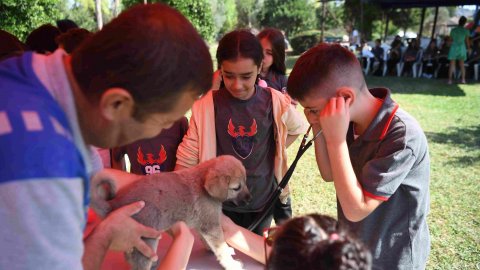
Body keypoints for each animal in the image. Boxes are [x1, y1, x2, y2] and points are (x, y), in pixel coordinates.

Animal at [88, 155, 251, 270]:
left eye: (245, 182)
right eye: (237, 188)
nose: (249, 199)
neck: (202, 182)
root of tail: (114, 203)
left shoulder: (203, 225)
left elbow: (209, 241)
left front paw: (211, 249)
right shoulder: (211, 226)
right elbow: (221, 248)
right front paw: (231, 264)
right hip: (147, 237)